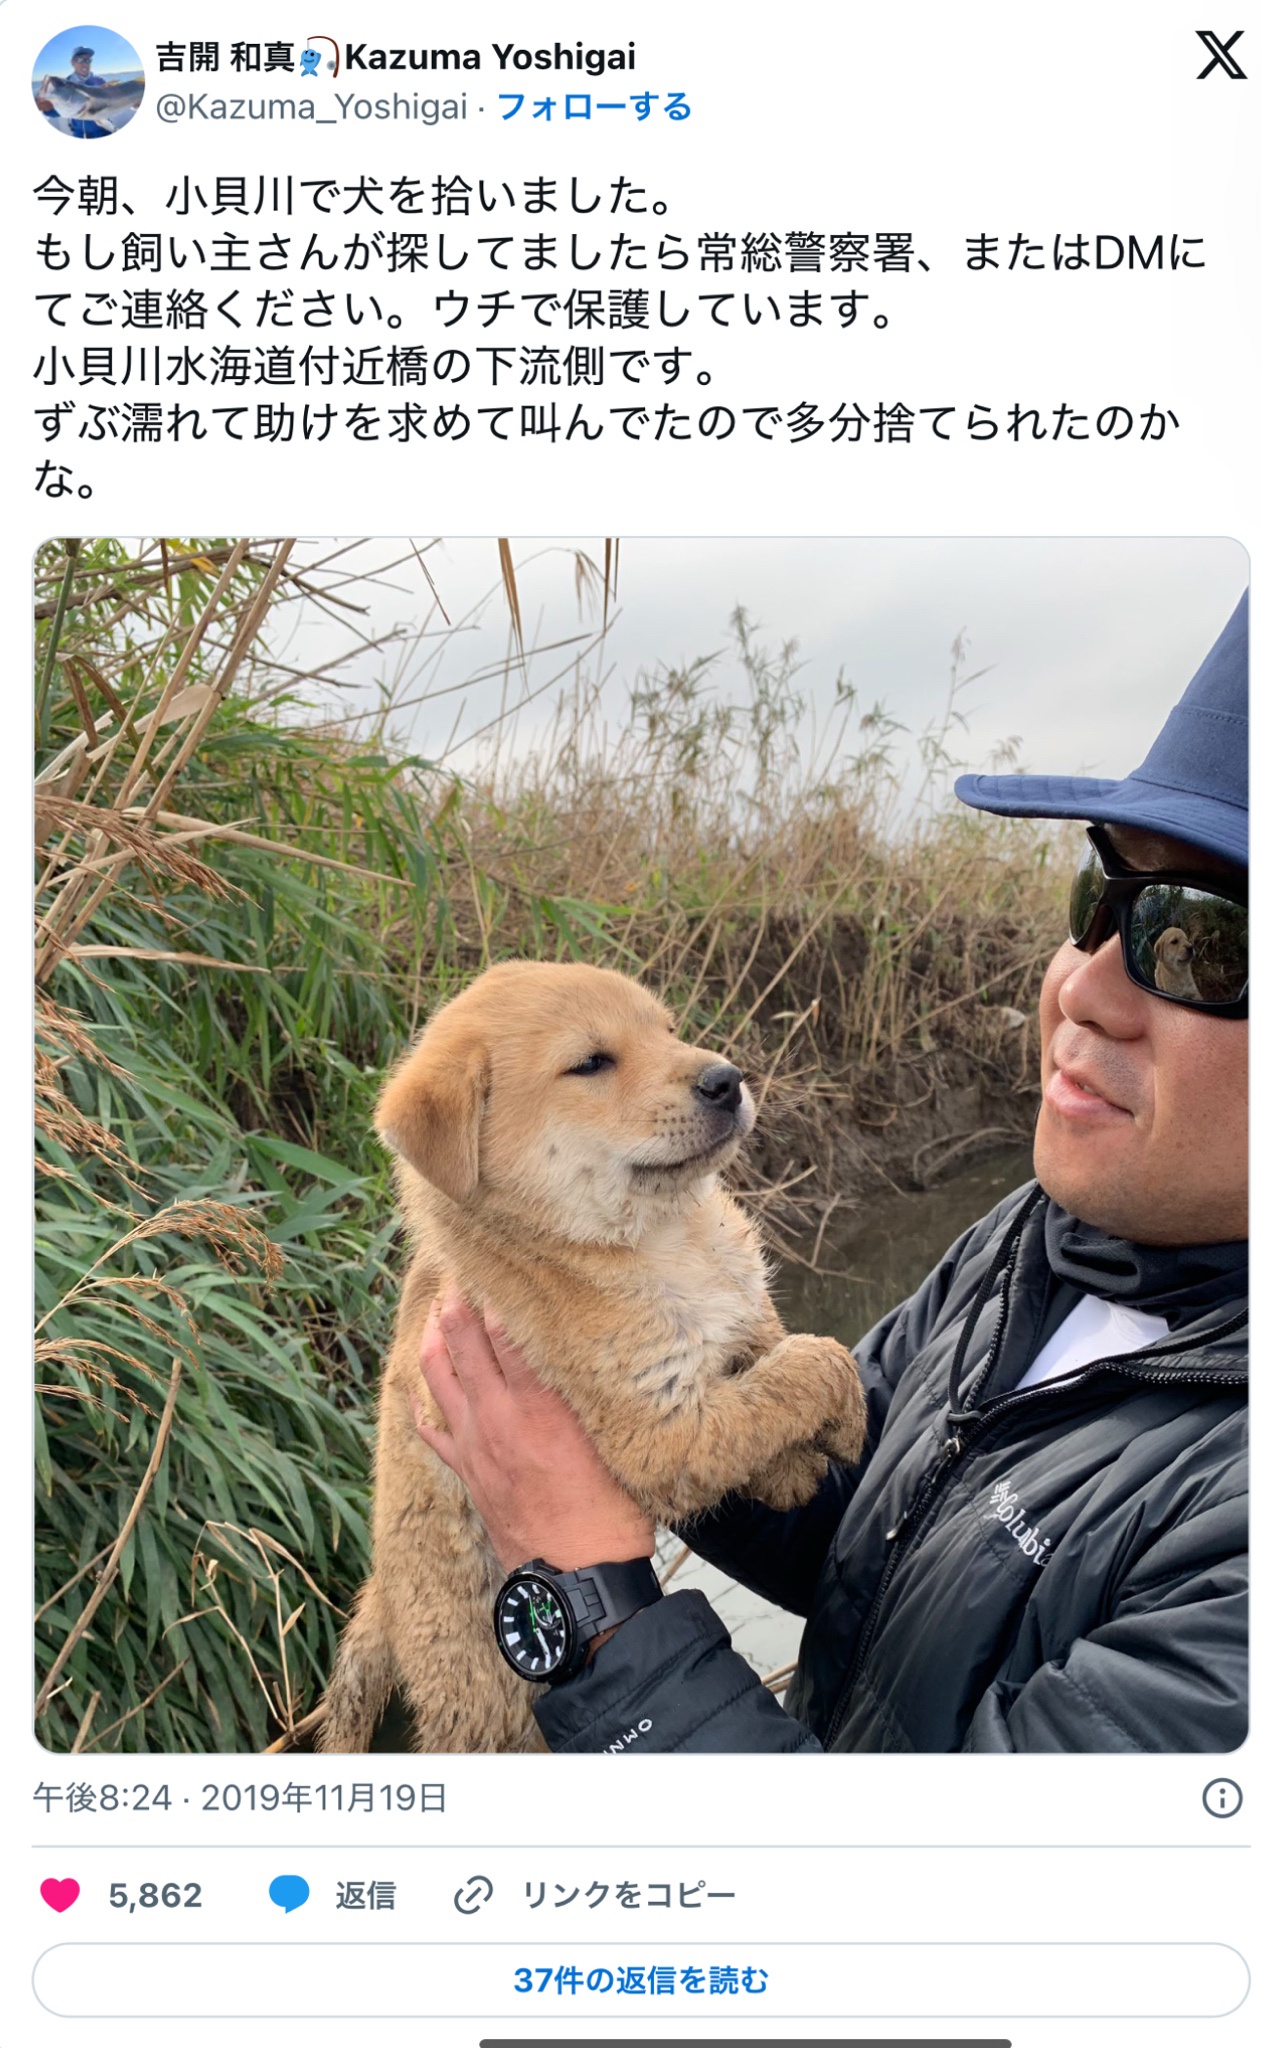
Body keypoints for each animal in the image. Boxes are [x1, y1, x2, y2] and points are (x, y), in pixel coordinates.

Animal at [318, 960, 867, 1753]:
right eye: (590, 1063)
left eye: (667, 1029)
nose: (727, 1079)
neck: (663, 1240)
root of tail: (381, 1603)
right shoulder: (657, 1435)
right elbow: (802, 1371)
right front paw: (839, 1425)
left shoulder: (738, 1323)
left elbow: (772, 1354)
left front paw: (794, 1467)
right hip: (487, 1707)